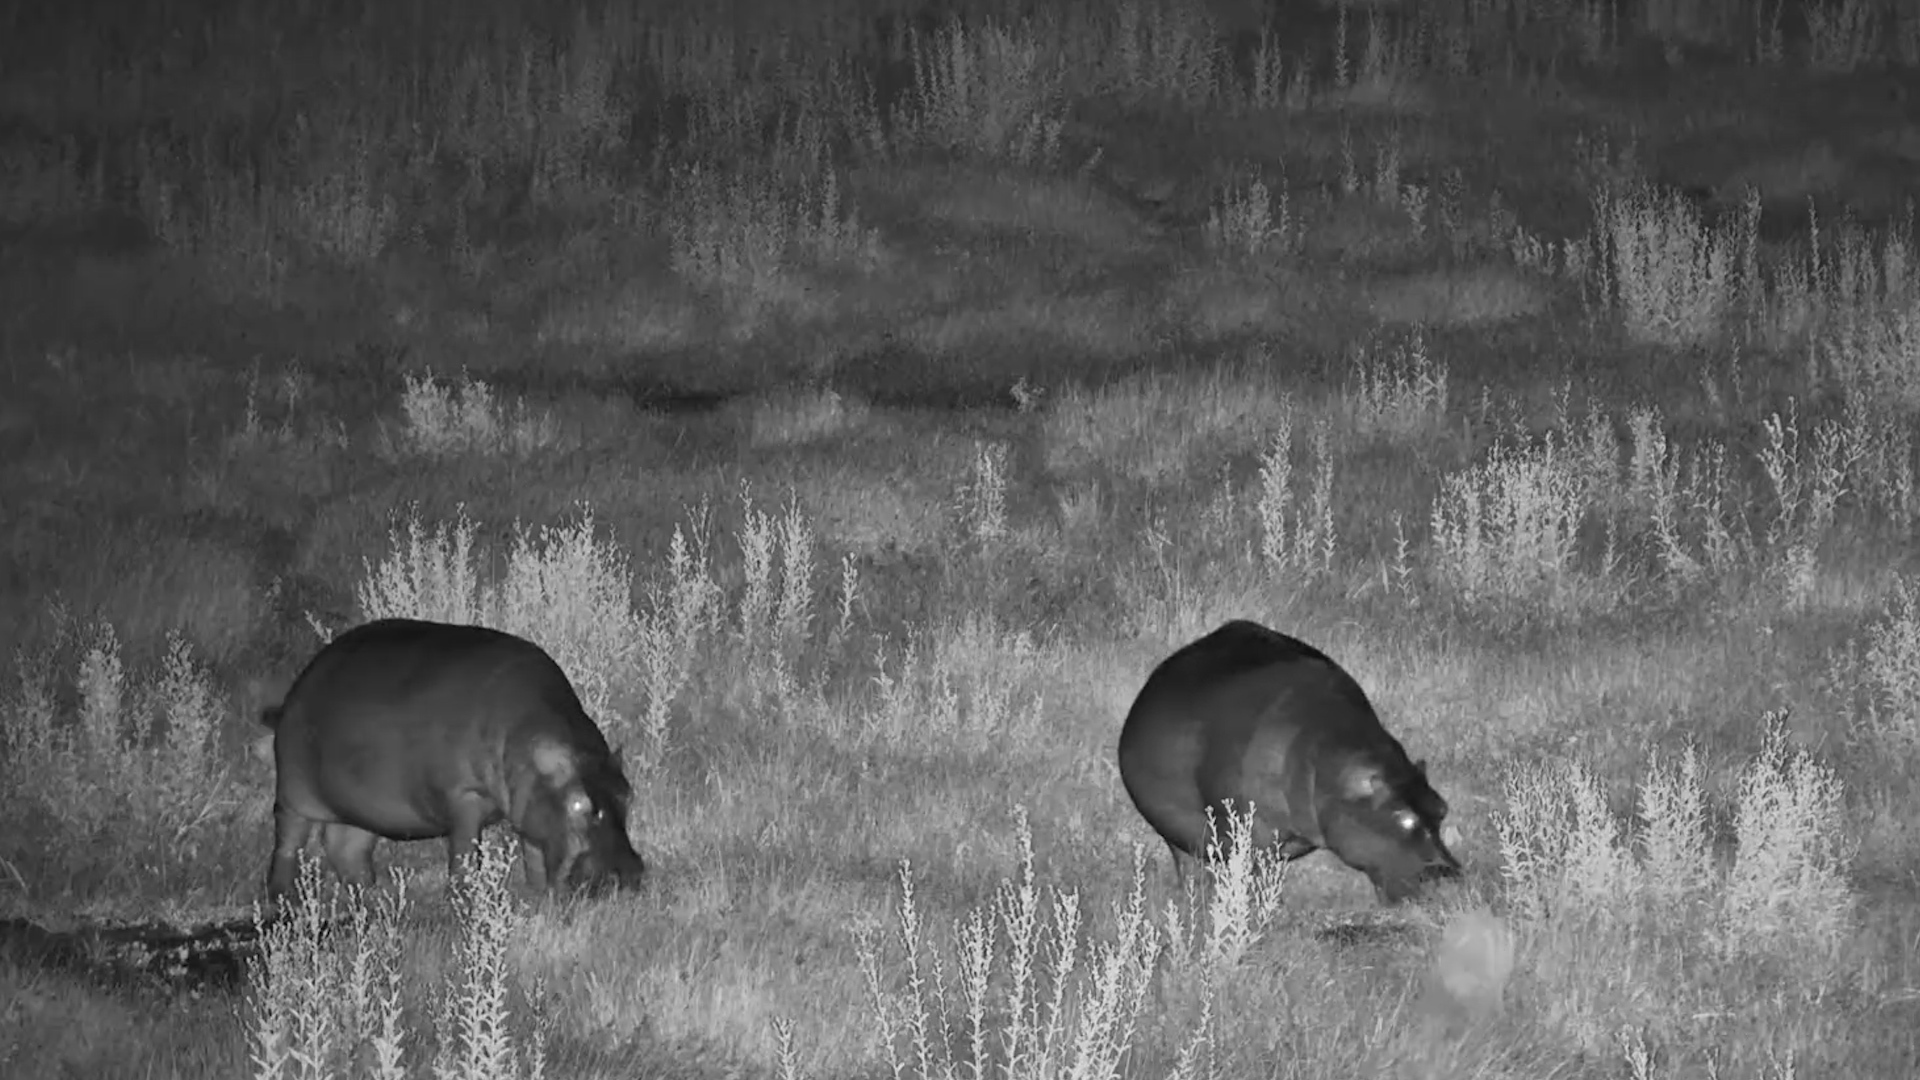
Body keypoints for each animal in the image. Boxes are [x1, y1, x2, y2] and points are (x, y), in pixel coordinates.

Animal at [263, 618, 647, 905]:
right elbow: (464, 853)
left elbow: (536, 853)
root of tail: (301, 681)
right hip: (293, 792)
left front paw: (538, 896)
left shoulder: (530, 806)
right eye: (580, 804)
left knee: (345, 847)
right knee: (288, 843)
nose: (629, 873)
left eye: (628, 795)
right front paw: (467, 900)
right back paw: (285, 900)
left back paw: (372, 897)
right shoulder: (465, 797)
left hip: (357, 807)